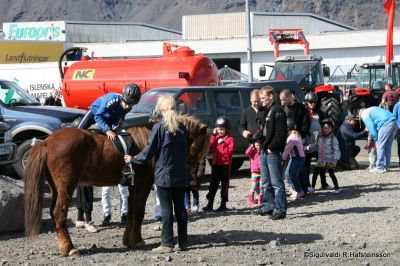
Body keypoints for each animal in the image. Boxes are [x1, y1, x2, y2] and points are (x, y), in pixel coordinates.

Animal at [23, 115, 209, 256]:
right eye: (199, 144)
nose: (192, 177)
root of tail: (46, 142)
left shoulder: (134, 186)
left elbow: (132, 212)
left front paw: (129, 240)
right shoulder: (143, 185)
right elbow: (139, 212)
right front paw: (137, 240)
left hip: (56, 188)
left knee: (54, 214)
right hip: (66, 187)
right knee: (59, 213)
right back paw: (69, 248)